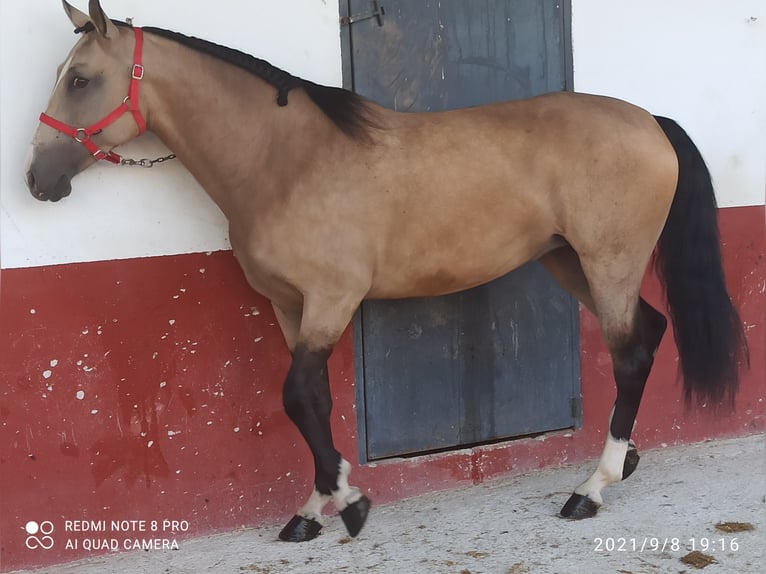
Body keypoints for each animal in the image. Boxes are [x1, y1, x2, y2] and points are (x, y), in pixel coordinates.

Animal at [25, 0, 752, 544]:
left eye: (81, 79)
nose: (38, 180)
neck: (283, 162)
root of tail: (649, 120)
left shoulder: (331, 300)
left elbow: (299, 396)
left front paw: (347, 505)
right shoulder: (290, 308)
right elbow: (313, 401)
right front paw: (314, 508)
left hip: (607, 263)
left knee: (630, 356)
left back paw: (591, 489)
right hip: (572, 262)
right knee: (649, 334)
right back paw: (624, 462)